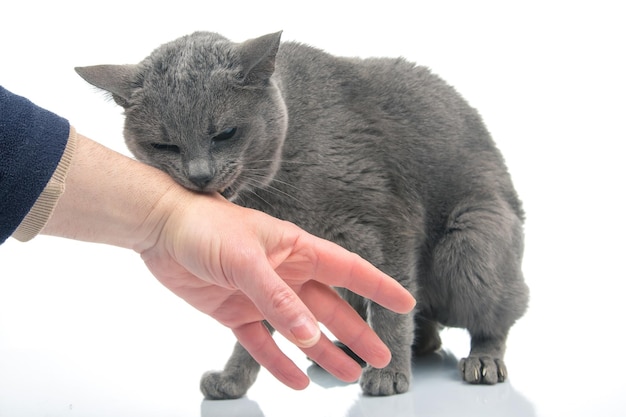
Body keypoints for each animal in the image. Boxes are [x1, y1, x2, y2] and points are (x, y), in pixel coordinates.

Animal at [75, 31, 528, 396]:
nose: (199, 174)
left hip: (470, 240)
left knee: (498, 312)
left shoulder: (387, 224)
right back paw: (355, 349)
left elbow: (393, 305)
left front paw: (388, 373)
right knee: (425, 330)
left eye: (225, 133)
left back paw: (482, 360)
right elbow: (257, 329)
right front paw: (232, 381)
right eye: (164, 146)